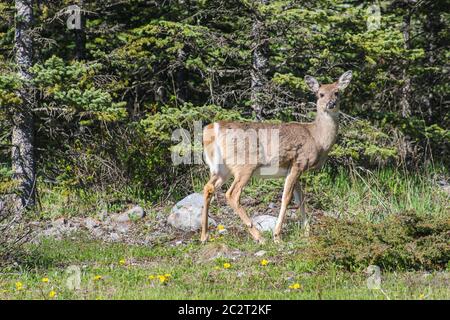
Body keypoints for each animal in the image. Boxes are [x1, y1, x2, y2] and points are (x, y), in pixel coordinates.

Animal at [200, 71, 352, 244]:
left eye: (337, 92)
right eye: (320, 94)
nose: (331, 103)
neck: (317, 138)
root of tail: (212, 129)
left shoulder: (293, 170)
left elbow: (301, 199)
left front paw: (307, 233)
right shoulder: (298, 163)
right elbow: (286, 198)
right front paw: (277, 236)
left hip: (222, 168)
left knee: (208, 187)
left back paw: (204, 236)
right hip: (245, 165)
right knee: (232, 194)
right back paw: (259, 236)